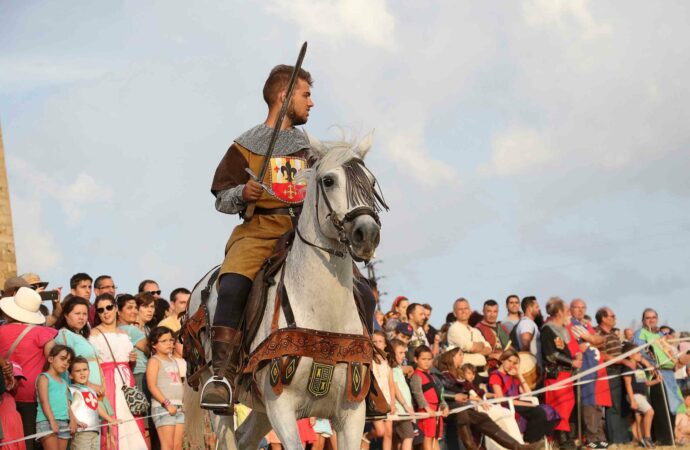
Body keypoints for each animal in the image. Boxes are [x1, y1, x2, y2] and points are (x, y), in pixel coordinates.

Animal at [185, 134, 384, 450]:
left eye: (371, 182)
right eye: (328, 181)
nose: (367, 234)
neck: (322, 317)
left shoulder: (352, 413)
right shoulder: (281, 406)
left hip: (260, 410)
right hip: (218, 396)